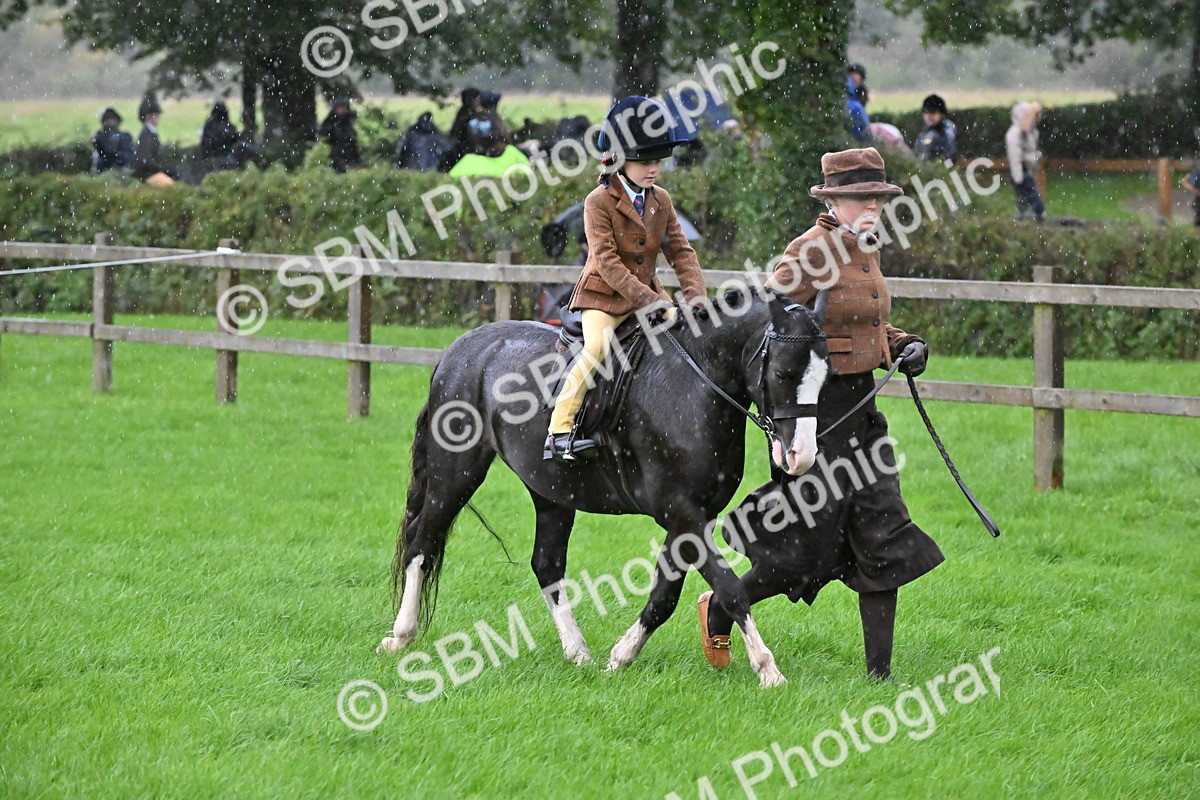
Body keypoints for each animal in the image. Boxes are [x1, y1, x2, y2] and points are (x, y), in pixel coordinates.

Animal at [378, 286, 830, 687]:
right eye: (784, 373)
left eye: (825, 378)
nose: (801, 456)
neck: (693, 385)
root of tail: (462, 348)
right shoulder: (681, 512)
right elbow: (730, 588)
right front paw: (768, 669)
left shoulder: (691, 516)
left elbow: (665, 595)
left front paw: (621, 657)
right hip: (454, 473)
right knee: (423, 544)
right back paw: (401, 635)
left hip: (551, 489)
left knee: (547, 564)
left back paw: (578, 652)